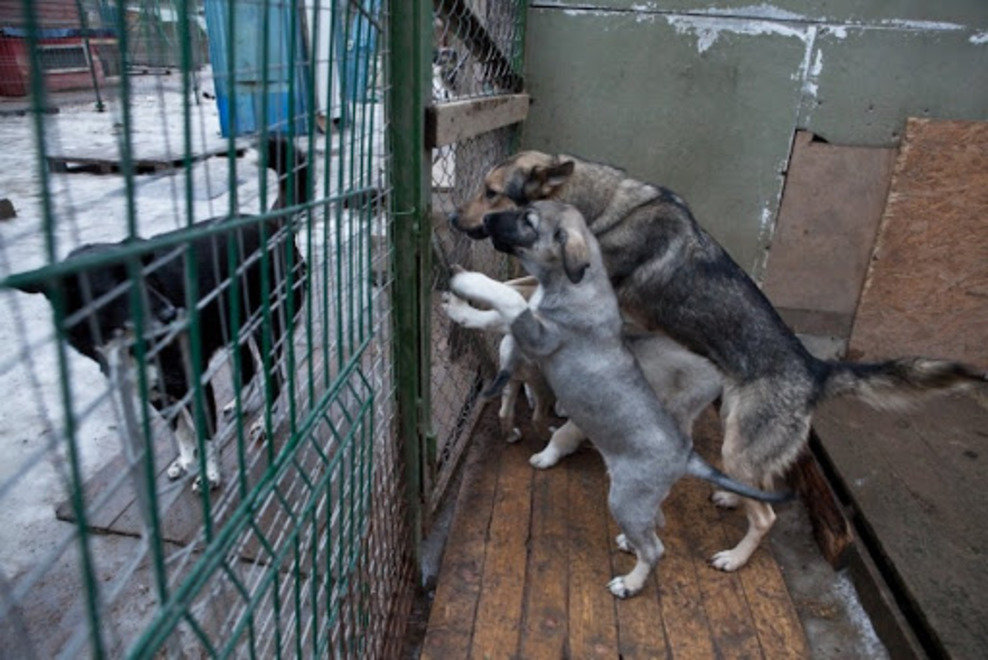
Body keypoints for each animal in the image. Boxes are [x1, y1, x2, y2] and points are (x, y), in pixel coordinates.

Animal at [15, 137, 308, 492]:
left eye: (146, 277)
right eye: (115, 289)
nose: (172, 314)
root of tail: (271, 224)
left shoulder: (192, 381)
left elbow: (204, 432)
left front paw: (209, 474)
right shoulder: (155, 392)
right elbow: (181, 431)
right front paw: (185, 461)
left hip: (270, 328)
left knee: (275, 377)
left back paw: (266, 422)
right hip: (234, 329)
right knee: (249, 368)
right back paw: (239, 406)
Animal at [446, 201, 788, 600]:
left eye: (528, 221)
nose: (485, 220)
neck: (572, 285)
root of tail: (684, 456)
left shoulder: (541, 336)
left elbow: (512, 301)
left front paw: (470, 282)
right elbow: (495, 314)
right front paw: (459, 306)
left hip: (626, 495)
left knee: (656, 548)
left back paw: (631, 582)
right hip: (639, 498)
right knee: (655, 524)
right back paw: (628, 542)